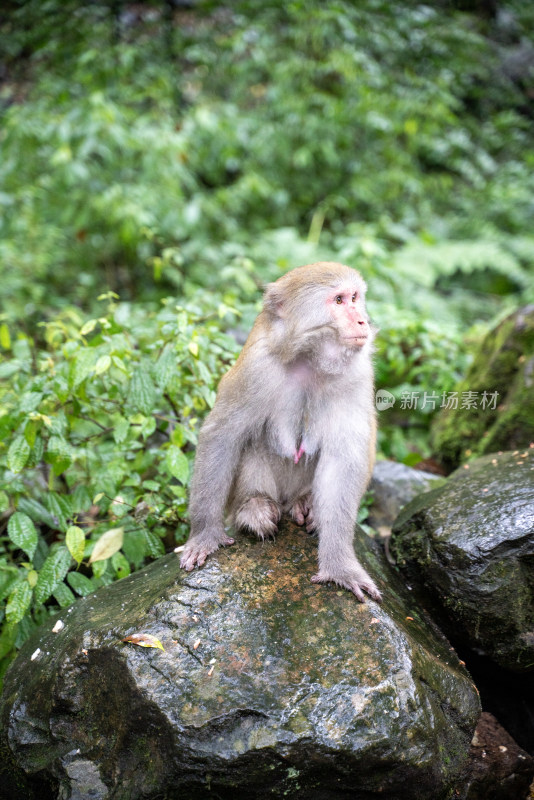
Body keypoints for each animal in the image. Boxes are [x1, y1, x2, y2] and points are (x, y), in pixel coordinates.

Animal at [182, 260, 384, 604]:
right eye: (339, 300)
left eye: (355, 298)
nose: (362, 320)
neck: (309, 359)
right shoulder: (257, 368)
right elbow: (223, 436)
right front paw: (205, 535)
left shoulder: (355, 374)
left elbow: (344, 458)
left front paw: (339, 565)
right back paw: (254, 507)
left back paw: (306, 503)